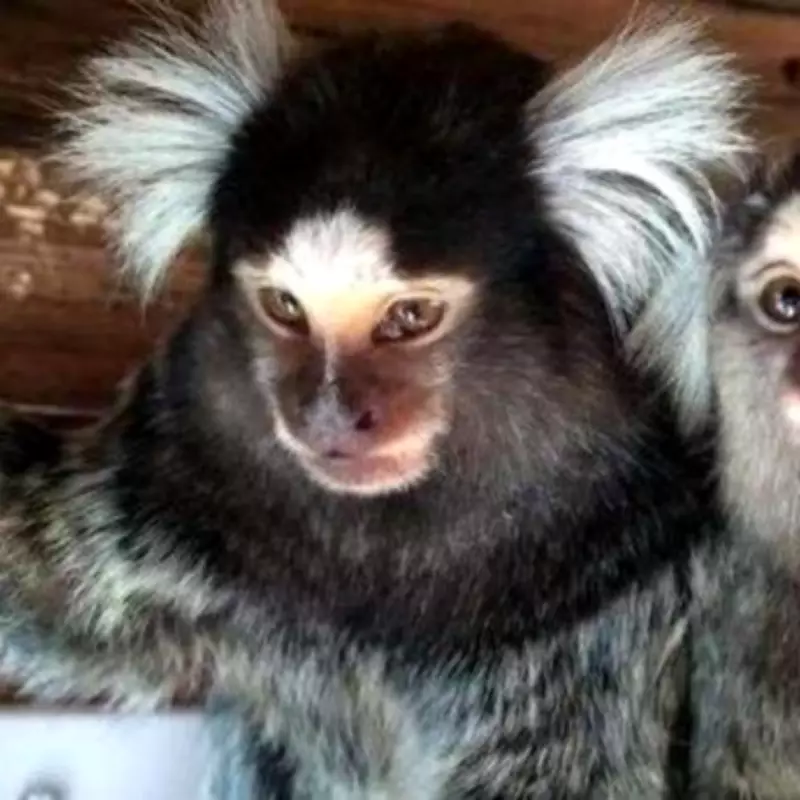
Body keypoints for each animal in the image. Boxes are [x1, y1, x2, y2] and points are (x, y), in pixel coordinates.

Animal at [0, 0, 753, 796]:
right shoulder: (170, 494)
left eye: (410, 317)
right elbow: (51, 605)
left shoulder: (617, 603)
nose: (327, 416)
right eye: (285, 308)